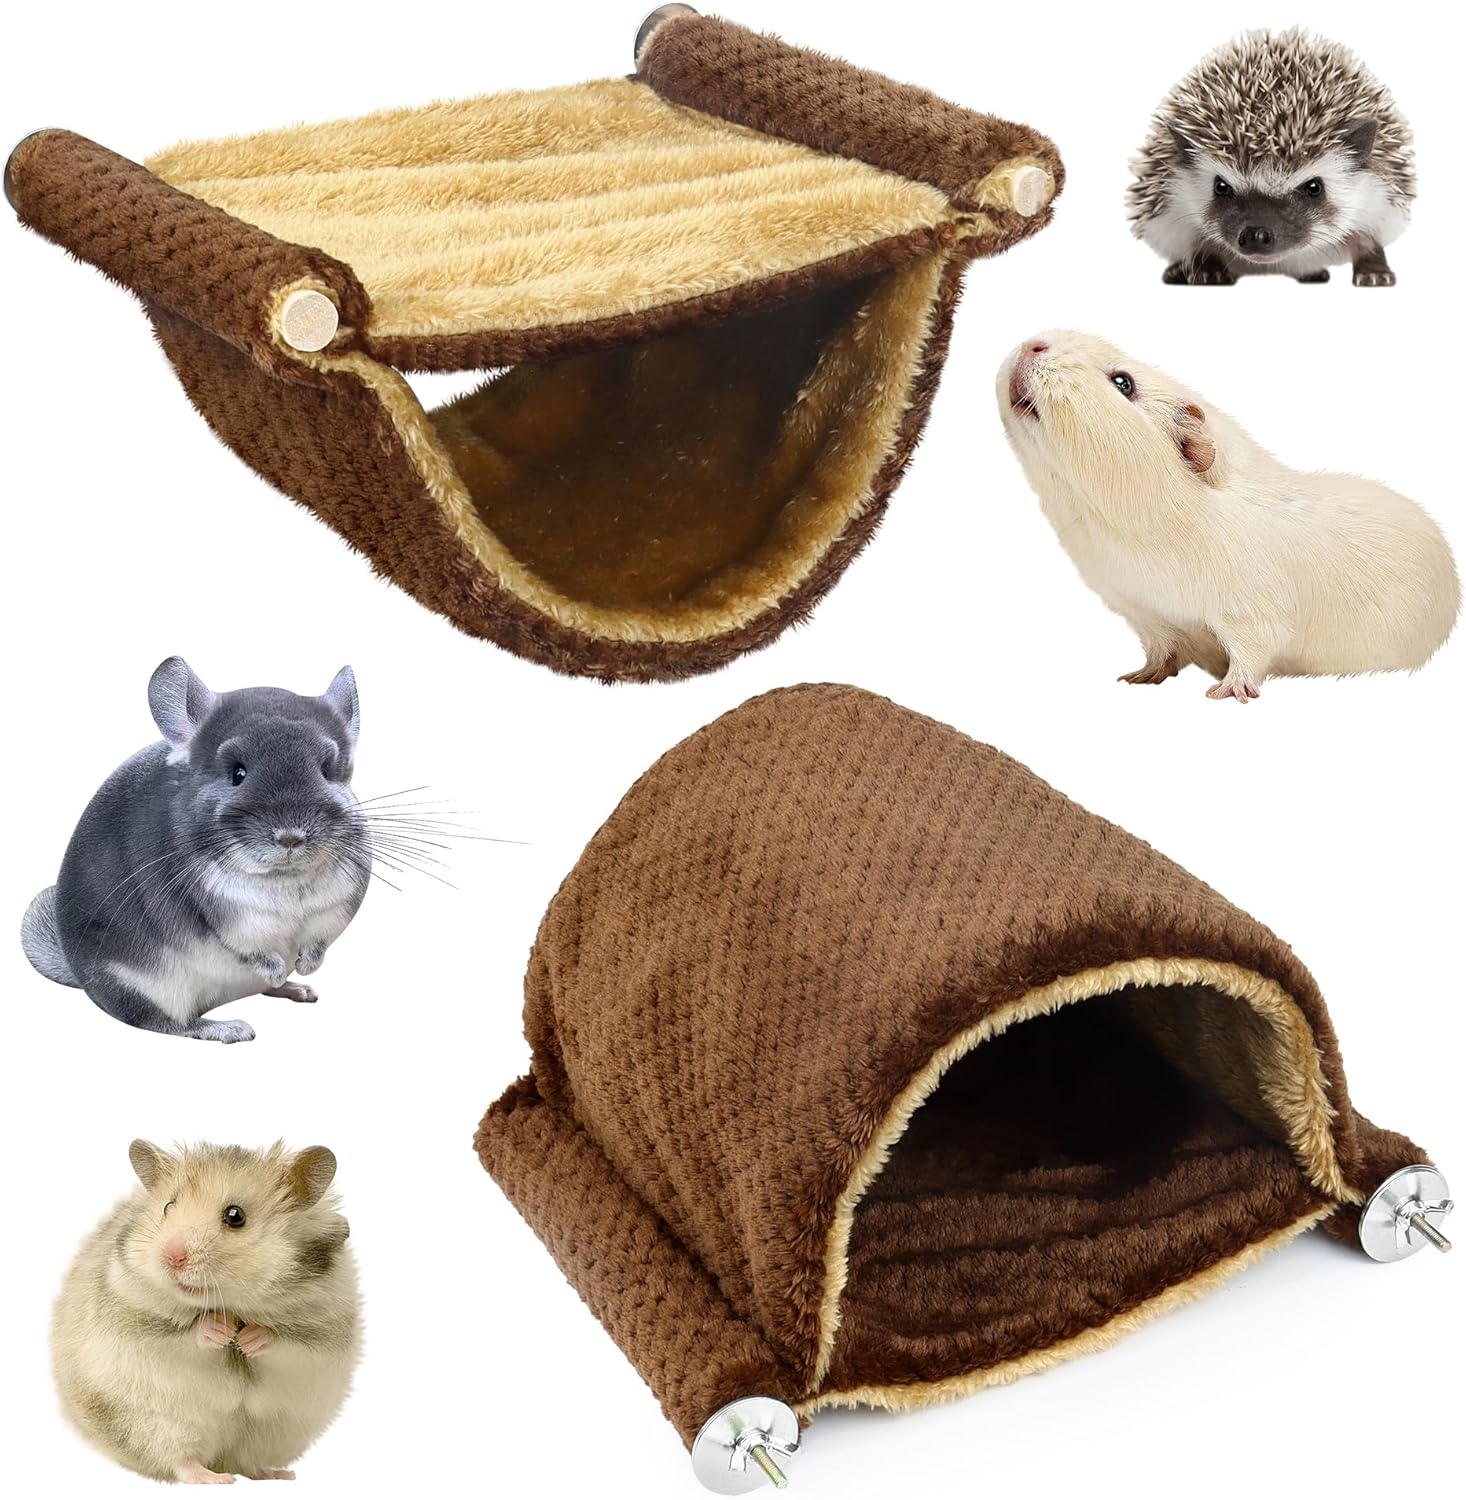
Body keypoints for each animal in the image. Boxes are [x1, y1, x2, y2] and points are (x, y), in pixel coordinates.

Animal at [21, 657, 370, 1040]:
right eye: (237, 774)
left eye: (326, 771)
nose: (290, 837)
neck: (284, 879)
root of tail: (79, 974)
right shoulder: (225, 916)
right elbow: (248, 948)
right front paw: (277, 969)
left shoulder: (338, 908)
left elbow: (321, 939)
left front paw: (306, 967)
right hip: (140, 984)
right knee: (168, 1023)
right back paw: (229, 1028)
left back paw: (298, 989)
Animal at [52, 1140, 360, 1484]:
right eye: (168, 1207)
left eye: (235, 1216)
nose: (172, 1257)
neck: (232, 1304)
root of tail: (221, 1459)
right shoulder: (135, 1317)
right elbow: (186, 1335)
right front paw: (221, 1330)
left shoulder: (324, 1333)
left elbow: (284, 1341)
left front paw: (249, 1338)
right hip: (158, 1424)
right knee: (181, 1460)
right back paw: (215, 1479)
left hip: (274, 1432)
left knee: (248, 1463)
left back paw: (277, 1474)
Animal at [997, 331, 1459, 700]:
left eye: (1123, 383)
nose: (1034, 341)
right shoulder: (1146, 615)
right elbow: (1162, 651)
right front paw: (1136, 678)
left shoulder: (1252, 614)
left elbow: (1251, 653)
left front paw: (1225, 693)